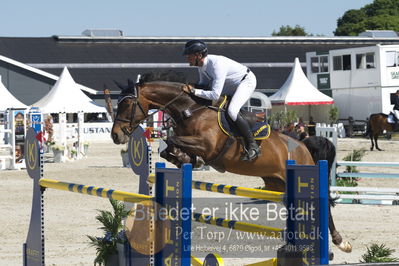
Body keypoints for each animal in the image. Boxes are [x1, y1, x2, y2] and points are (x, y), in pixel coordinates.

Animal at [111, 71, 352, 254]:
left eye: (128, 104)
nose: (116, 135)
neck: (190, 110)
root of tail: (303, 145)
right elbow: (167, 147)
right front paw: (183, 158)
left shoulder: (207, 145)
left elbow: (170, 140)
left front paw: (187, 158)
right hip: (279, 185)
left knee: (323, 208)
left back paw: (341, 242)